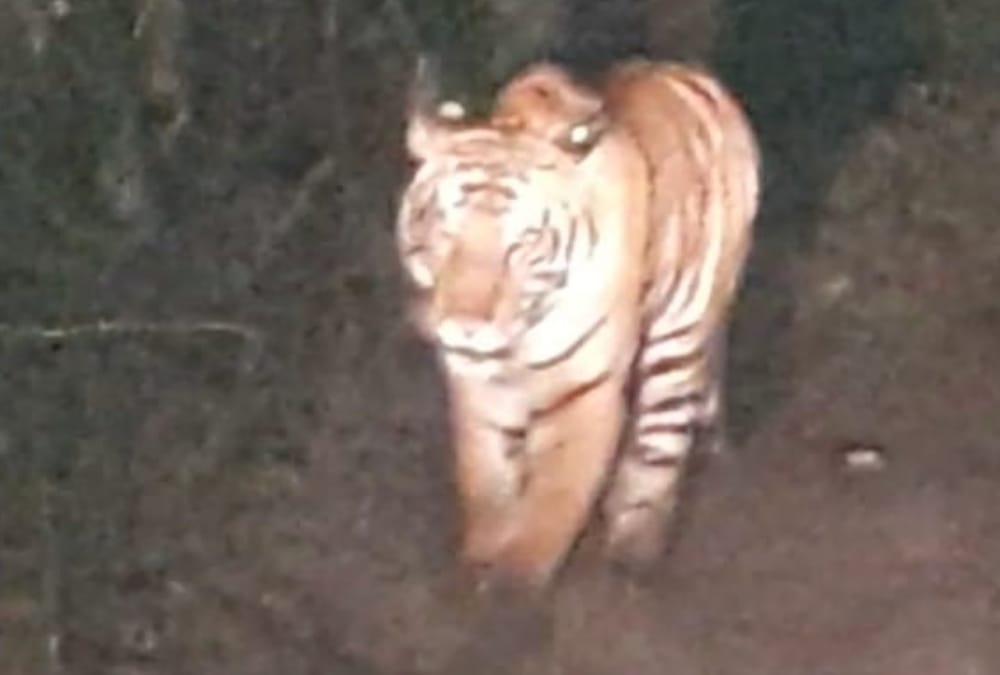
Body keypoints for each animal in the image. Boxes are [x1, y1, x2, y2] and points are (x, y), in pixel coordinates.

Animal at [395, 57, 760, 589]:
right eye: (446, 228)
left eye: (522, 243)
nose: (465, 325)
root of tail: (689, 72)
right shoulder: (480, 393)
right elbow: (488, 484)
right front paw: (481, 562)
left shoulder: (585, 391)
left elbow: (549, 510)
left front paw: (512, 590)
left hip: (678, 340)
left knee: (658, 446)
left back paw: (633, 552)